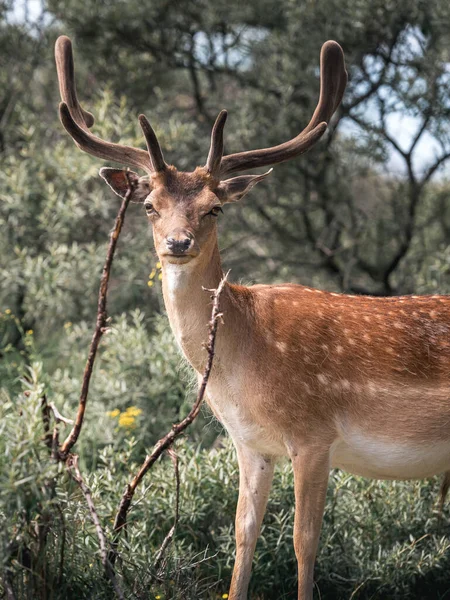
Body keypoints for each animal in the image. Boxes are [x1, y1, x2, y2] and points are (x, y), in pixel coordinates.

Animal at [55, 35, 450, 596]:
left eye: (214, 207)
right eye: (150, 205)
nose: (178, 243)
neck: (243, 365)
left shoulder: (314, 434)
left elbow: (305, 544)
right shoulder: (250, 444)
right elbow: (242, 535)